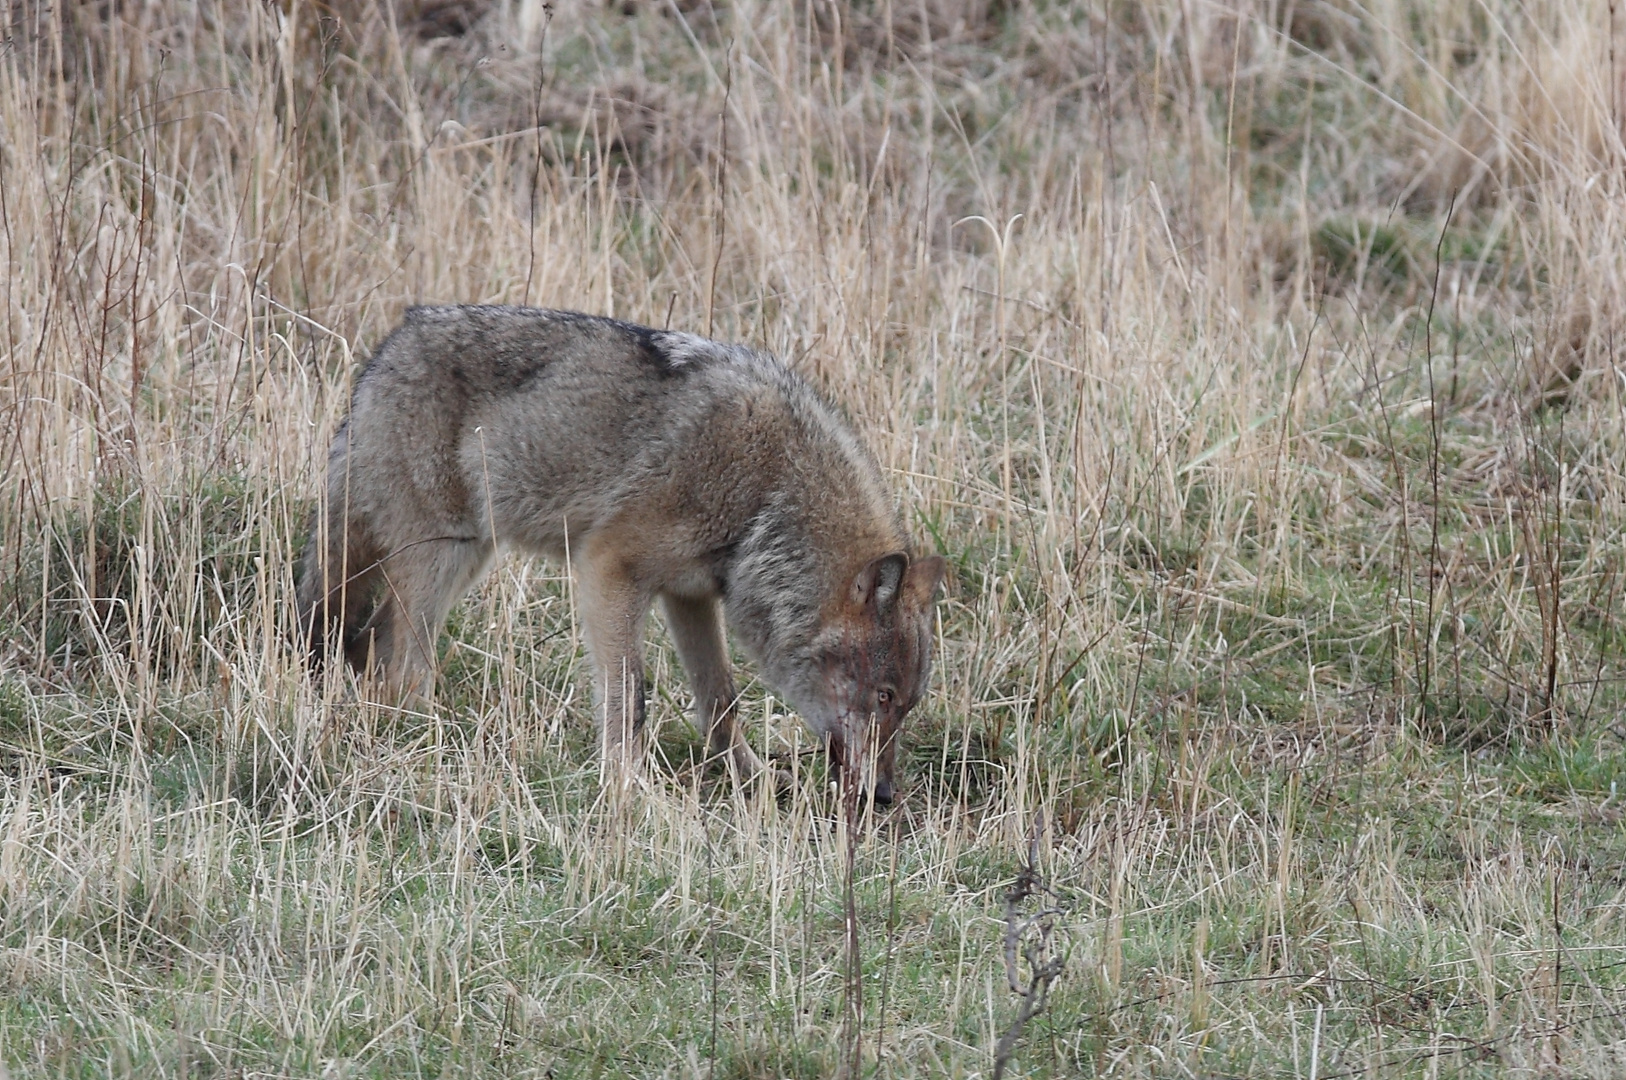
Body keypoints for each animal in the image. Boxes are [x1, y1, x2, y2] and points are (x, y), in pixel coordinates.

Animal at [299, 304, 949, 800]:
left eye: (906, 706)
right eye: (884, 696)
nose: (885, 796)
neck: (767, 493)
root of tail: (383, 355)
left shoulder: (689, 596)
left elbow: (721, 699)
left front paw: (753, 780)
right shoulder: (609, 567)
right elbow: (629, 695)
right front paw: (627, 787)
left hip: (466, 559)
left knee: (374, 643)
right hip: (441, 559)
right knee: (399, 659)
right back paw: (430, 736)